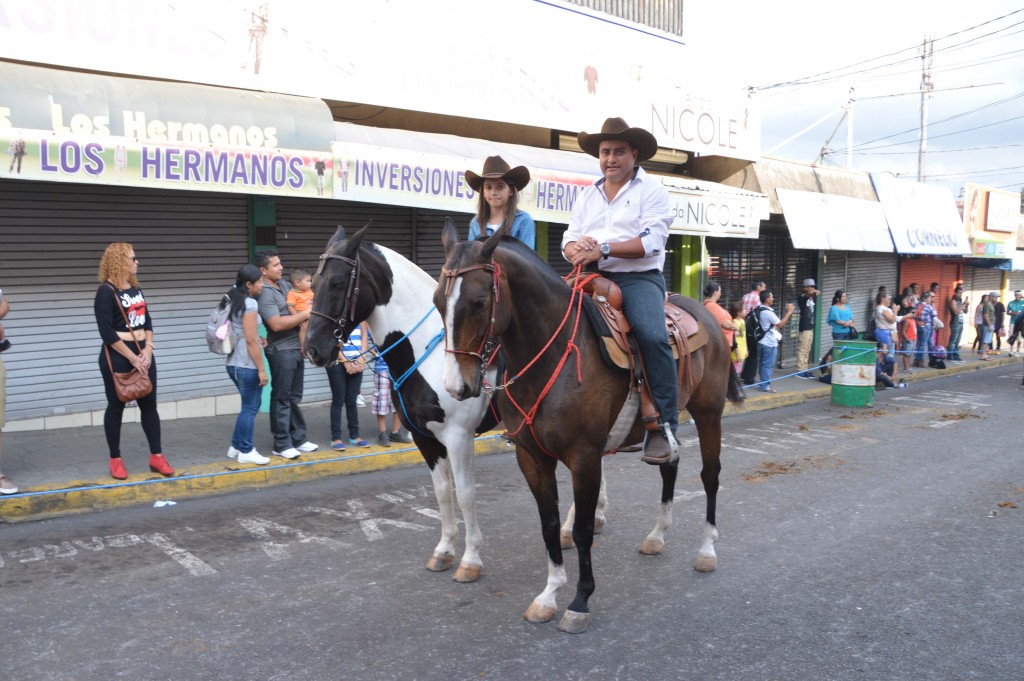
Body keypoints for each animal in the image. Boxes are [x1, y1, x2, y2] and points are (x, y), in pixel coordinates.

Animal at [434, 219, 745, 630]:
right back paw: (657, 536)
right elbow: (550, 524)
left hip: (709, 414)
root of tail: (704, 311)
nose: (456, 387)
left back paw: (707, 550)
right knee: (670, 467)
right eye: (437, 303)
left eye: (479, 302)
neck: (554, 354)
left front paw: (579, 601)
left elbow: (582, 530)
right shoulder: (531, 457)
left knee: (710, 477)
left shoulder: (584, 457)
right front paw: (549, 594)